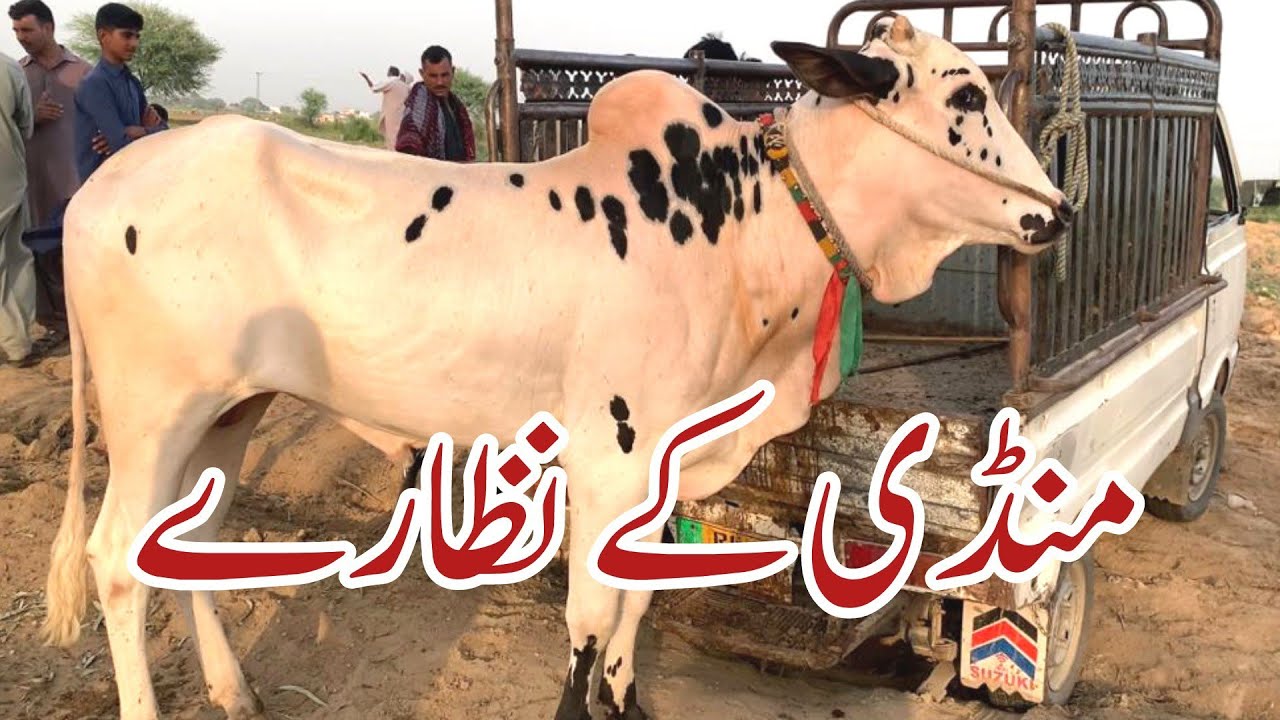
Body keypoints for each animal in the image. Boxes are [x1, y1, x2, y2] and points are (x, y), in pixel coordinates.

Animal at [40, 15, 1070, 720]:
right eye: (965, 95)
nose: (1057, 209)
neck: (740, 227)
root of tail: (103, 183)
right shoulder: (610, 457)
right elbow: (587, 618)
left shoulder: (668, 464)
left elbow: (637, 605)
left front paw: (626, 698)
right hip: (154, 415)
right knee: (116, 562)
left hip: (231, 412)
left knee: (181, 544)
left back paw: (233, 688)